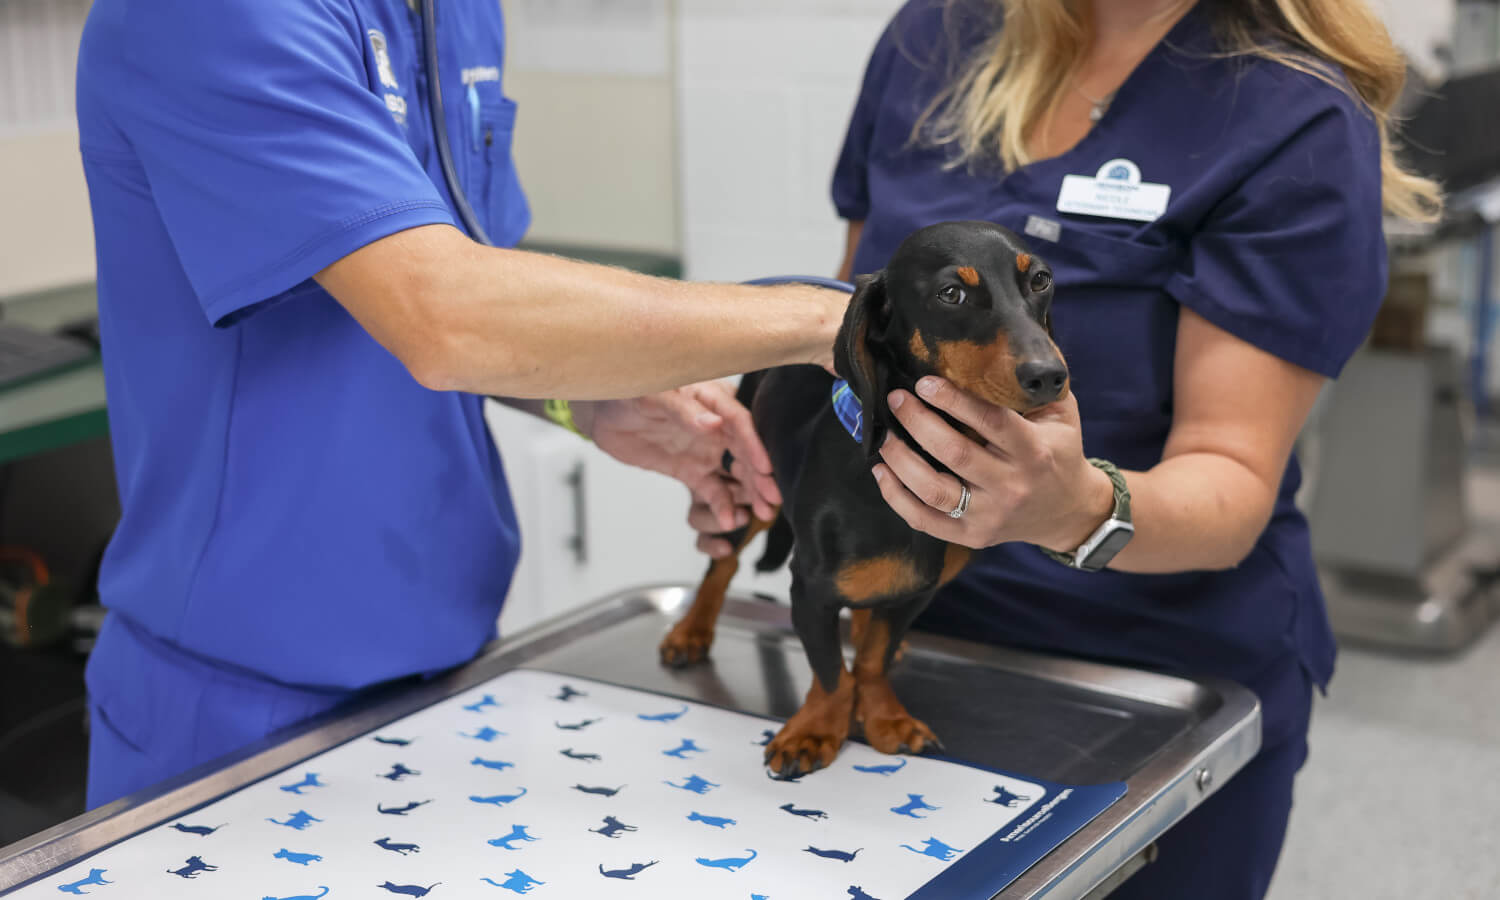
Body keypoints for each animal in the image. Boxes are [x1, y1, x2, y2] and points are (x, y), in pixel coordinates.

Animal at [657, 222, 1068, 774]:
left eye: (1041, 279)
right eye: (951, 293)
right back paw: (692, 632)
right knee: (720, 567)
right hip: (745, 484)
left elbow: (872, 660)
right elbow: (831, 670)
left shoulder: (916, 589)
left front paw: (885, 718)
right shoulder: (809, 590)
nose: (1049, 376)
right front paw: (814, 730)